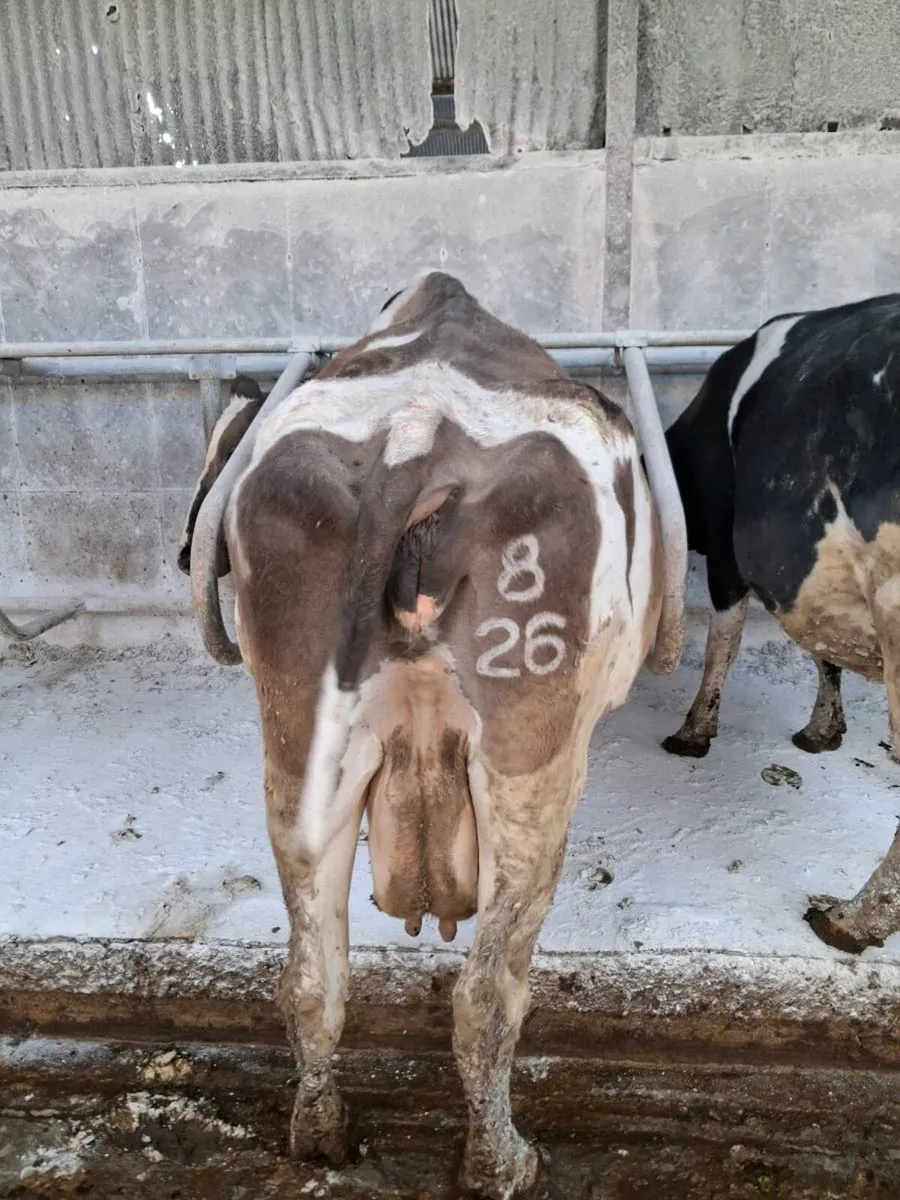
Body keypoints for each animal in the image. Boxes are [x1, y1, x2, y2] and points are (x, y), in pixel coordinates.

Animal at [182, 271, 684, 1198]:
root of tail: (413, 435)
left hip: (298, 737)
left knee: (311, 976)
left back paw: (323, 1132)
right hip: (531, 761)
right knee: (487, 995)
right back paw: (500, 1161)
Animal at [661, 293, 900, 956]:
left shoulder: (729, 551)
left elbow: (725, 641)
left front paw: (694, 731)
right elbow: (823, 651)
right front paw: (823, 730)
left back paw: (850, 920)